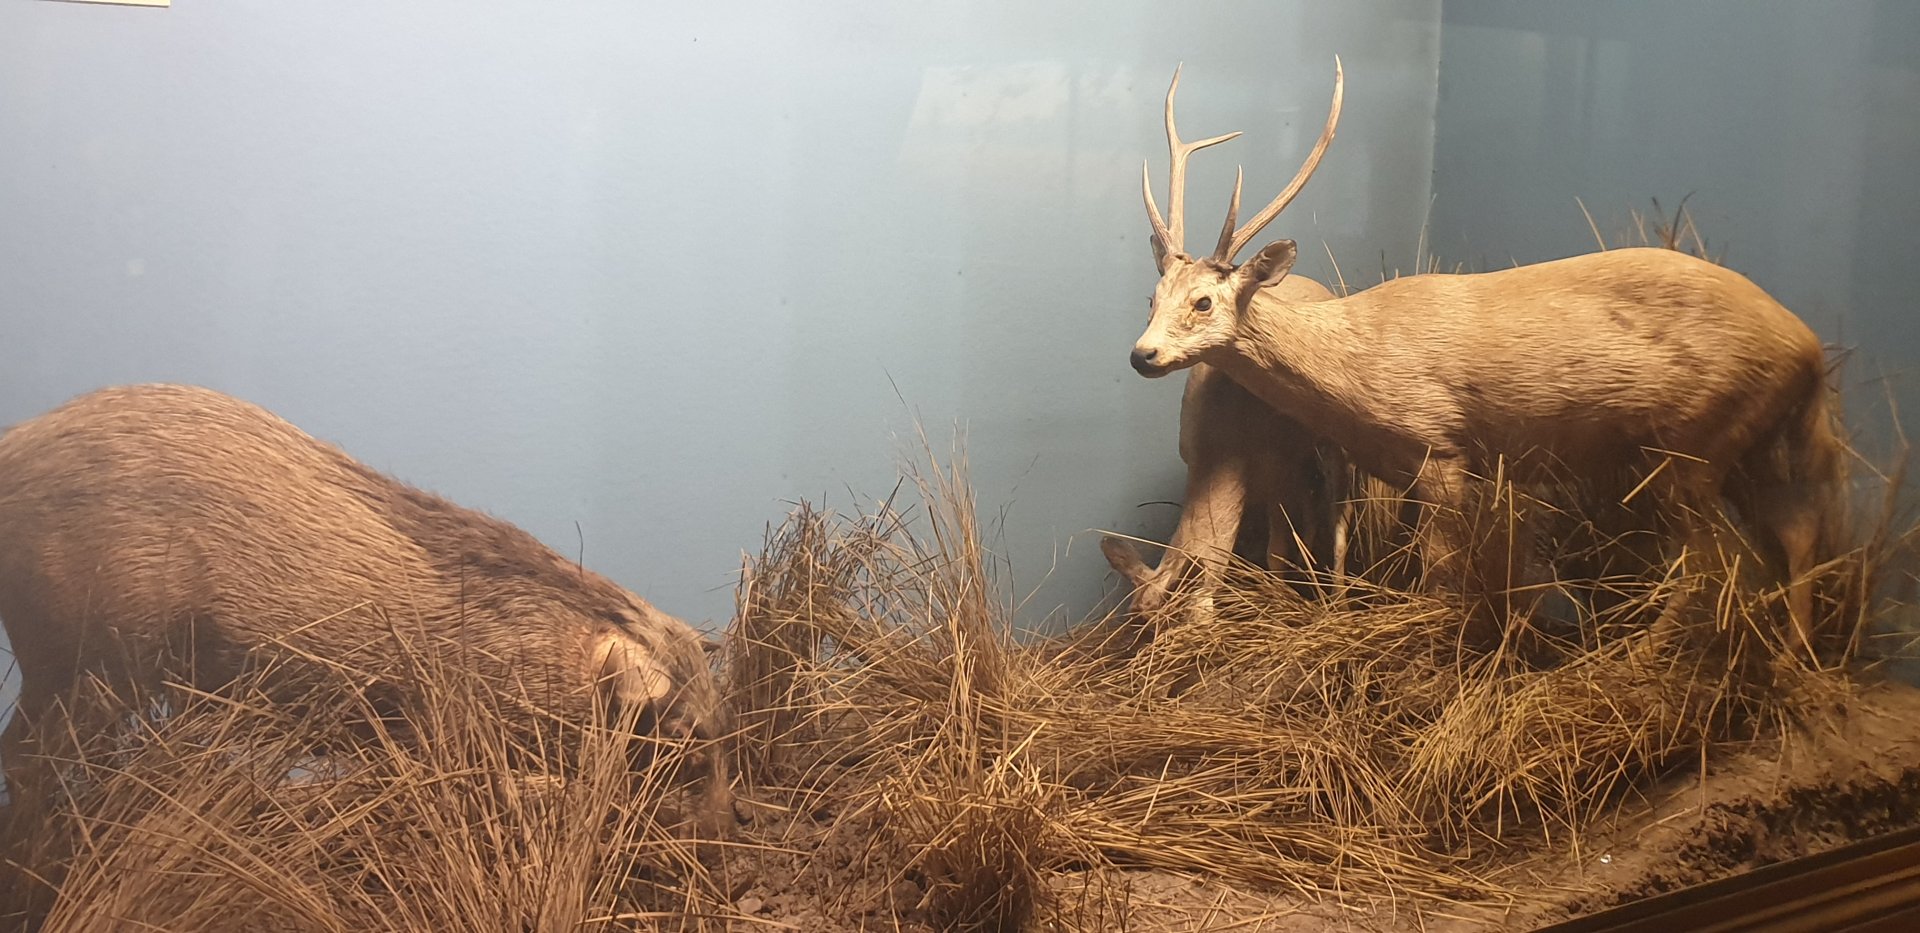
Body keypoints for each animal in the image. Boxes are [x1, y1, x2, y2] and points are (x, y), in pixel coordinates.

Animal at [0, 384, 732, 835]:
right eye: (677, 736)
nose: (735, 819)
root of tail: (14, 447)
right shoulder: (447, 728)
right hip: (90, 668)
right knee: (32, 763)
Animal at [1125, 60, 1846, 655]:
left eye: (1205, 302)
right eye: (1152, 295)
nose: (1142, 354)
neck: (1354, 358)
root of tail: (1808, 348)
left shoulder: (1441, 448)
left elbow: (1441, 580)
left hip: (1692, 444)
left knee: (1717, 563)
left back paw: (1633, 659)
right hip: (1744, 439)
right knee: (1794, 530)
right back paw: (1796, 660)